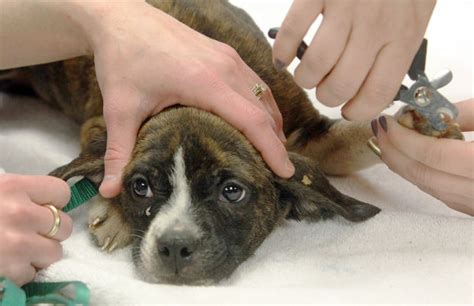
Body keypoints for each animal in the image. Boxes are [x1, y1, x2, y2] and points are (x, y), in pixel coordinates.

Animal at [1, 0, 384, 284]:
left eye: (232, 192)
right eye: (140, 187)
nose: (174, 247)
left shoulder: (309, 133)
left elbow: (355, 139)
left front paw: (396, 126)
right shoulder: (103, 122)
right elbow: (107, 158)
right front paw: (115, 212)